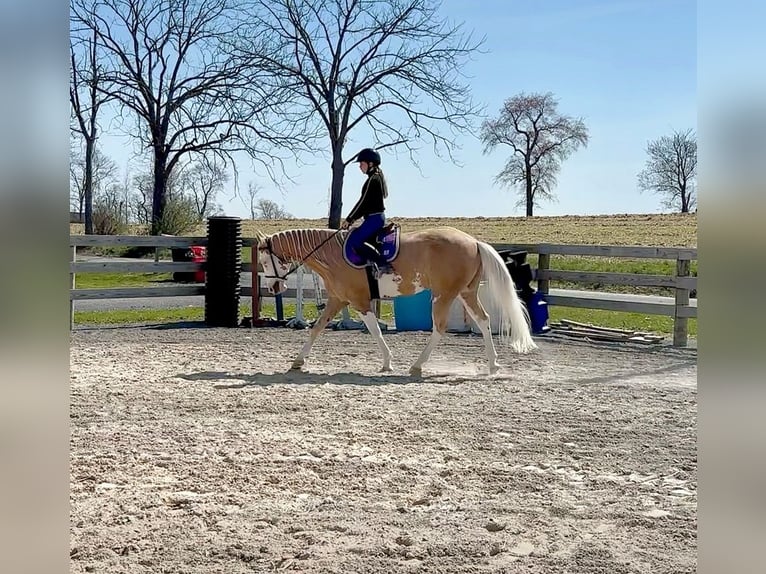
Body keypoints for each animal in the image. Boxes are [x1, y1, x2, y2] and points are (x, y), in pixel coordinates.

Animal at [255, 225, 537, 375]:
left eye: (266, 260)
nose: (273, 287)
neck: (332, 255)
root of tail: (473, 241)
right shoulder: (337, 300)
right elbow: (316, 329)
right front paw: (298, 361)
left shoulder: (360, 302)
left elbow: (376, 332)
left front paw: (387, 363)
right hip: (465, 293)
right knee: (483, 320)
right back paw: (493, 365)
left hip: (443, 295)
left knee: (440, 328)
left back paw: (417, 365)